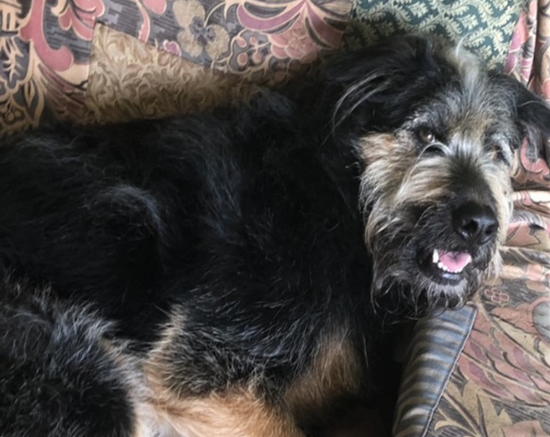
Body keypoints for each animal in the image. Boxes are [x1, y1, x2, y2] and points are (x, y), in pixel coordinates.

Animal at [1, 35, 550, 436]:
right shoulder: (201, 371)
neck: (342, 202)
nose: (480, 224)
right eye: (427, 135)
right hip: (84, 370)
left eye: (498, 151)